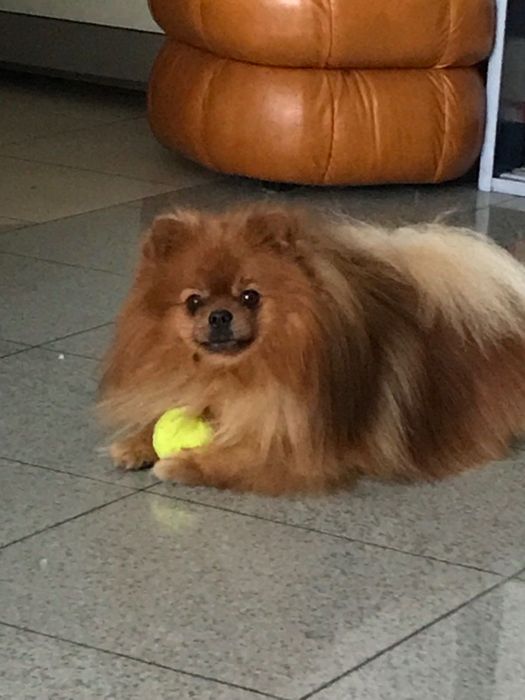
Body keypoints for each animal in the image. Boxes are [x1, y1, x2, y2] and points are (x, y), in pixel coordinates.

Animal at [99, 205, 525, 495]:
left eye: (250, 297)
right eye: (193, 302)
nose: (220, 315)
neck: (237, 373)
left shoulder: (300, 443)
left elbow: (237, 455)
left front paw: (183, 462)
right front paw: (135, 443)